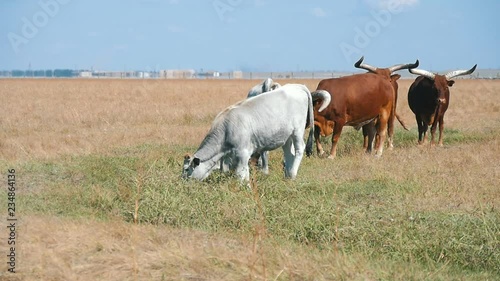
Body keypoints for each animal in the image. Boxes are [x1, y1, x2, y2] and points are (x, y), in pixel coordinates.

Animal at [182, 83, 330, 180]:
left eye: (186, 169)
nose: (182, 182)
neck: (226, 129)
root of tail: (298, 87)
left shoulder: (243, 152)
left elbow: (241, 174)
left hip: (297, 131)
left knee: (300, 149)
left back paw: (292, 174)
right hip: (287, 136)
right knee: (289, 153)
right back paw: (287, 175)